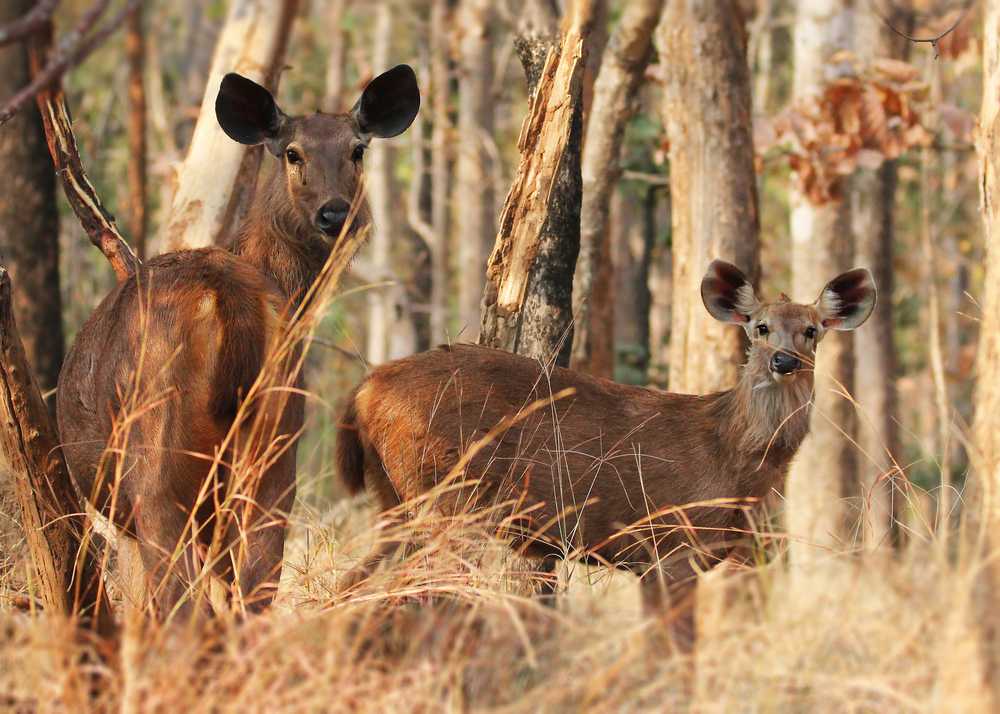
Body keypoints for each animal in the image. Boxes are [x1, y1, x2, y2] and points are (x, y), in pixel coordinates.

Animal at [59, 65, 418, 616]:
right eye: (293, 152)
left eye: (358, 149)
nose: (335, 213)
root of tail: (225, 294)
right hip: (277, 449)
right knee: (254, 586)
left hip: (156, 460)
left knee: (180, 597)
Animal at [336, 260, 876, 616]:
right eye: (761, 327)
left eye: (812, 330)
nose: (783, 360)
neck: (732, 456)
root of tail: (366, 389)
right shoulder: (669, 544)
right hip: (447, 497)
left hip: (396, 501)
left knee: (353, 581)